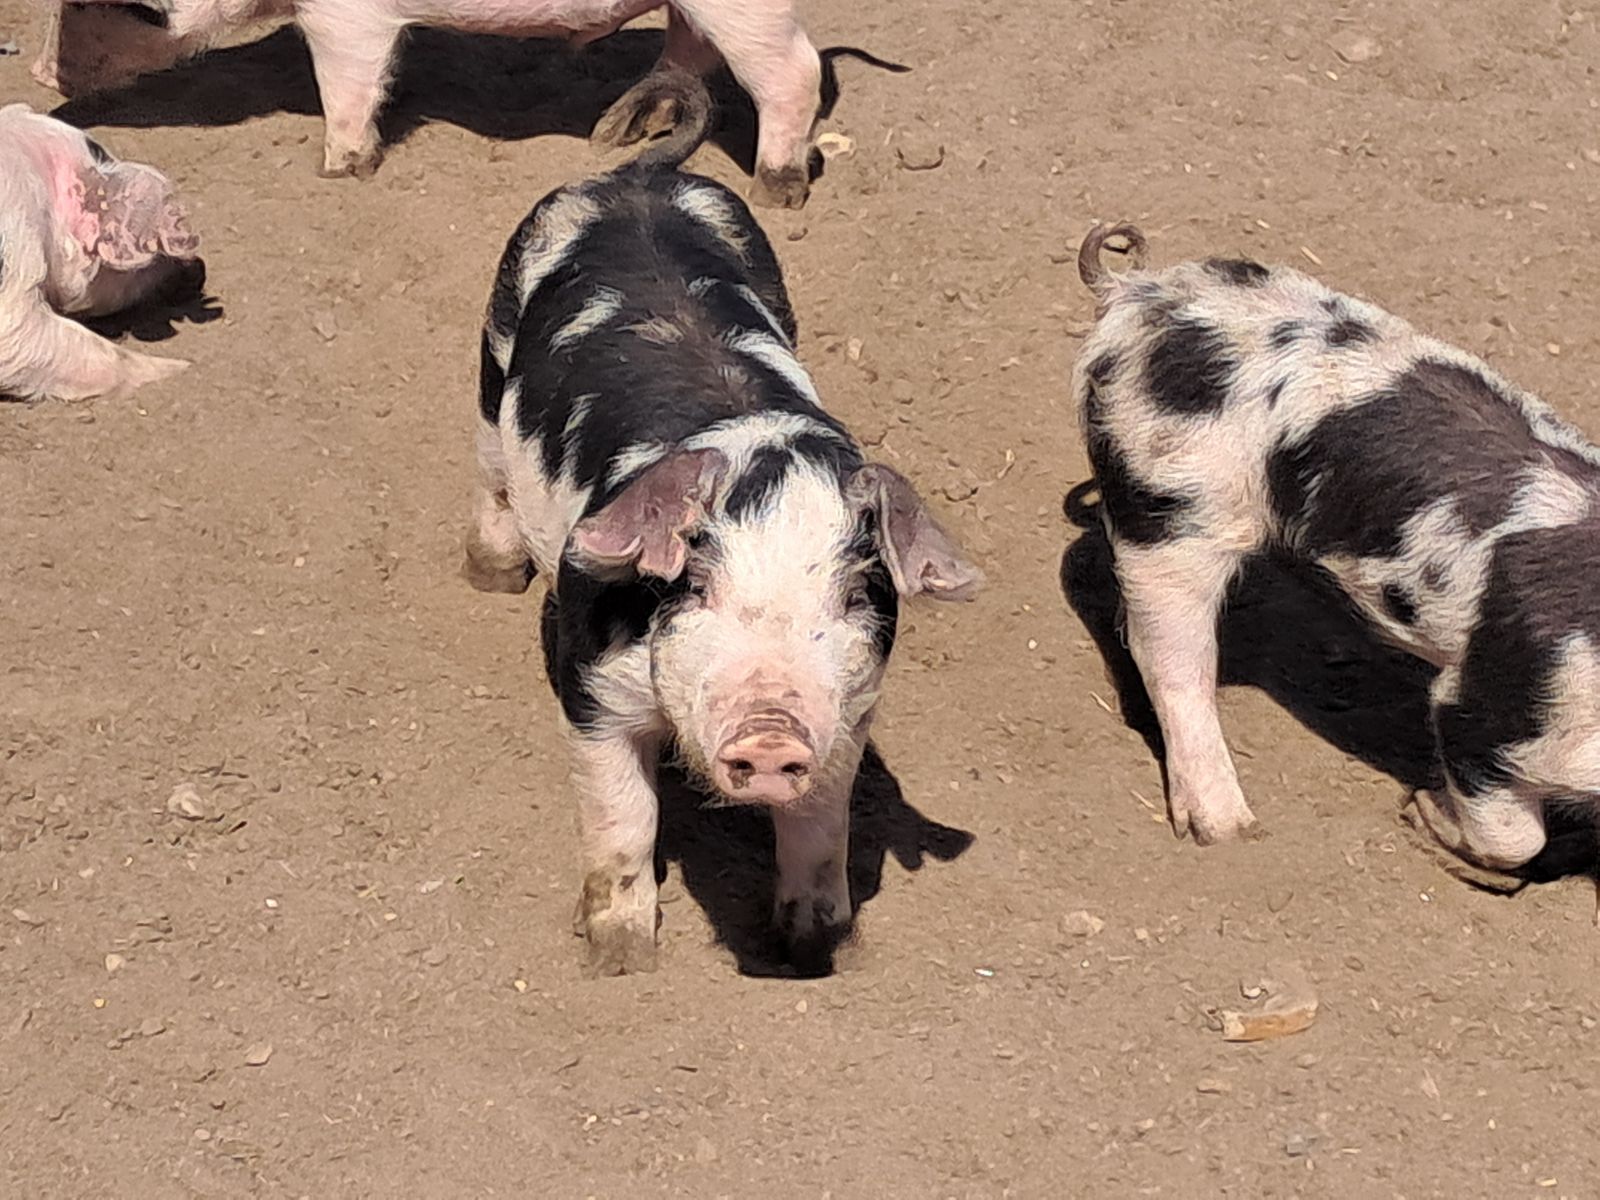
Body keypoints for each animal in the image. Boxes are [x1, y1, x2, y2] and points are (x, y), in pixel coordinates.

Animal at [35, 0, 823, 207]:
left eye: (90, 6)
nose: (41, 77)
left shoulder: (345, 20)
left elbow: (346, 85)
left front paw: (338, 170)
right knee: (689, 53)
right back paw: (618, 130)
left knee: (795, 71)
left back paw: (778, 189)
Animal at [465, 71, 982, 976]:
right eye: (696, 583)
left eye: (854, 595)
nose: (772, 731)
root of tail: (636, 176)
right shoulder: (589, 686)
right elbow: (622, 815)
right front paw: (619, 958)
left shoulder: (851, 711)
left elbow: (819, 828)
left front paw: (813, 948)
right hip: (491, 353)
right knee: (491, 468)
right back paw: (491, 571)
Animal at [1073, 221, 1600, 881]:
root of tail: (1138, 293)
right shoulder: (1487, 707)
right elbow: (1512, 833)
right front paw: (1422, 809)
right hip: (1169, 502)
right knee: (1168, 653)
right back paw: (1227, 829)